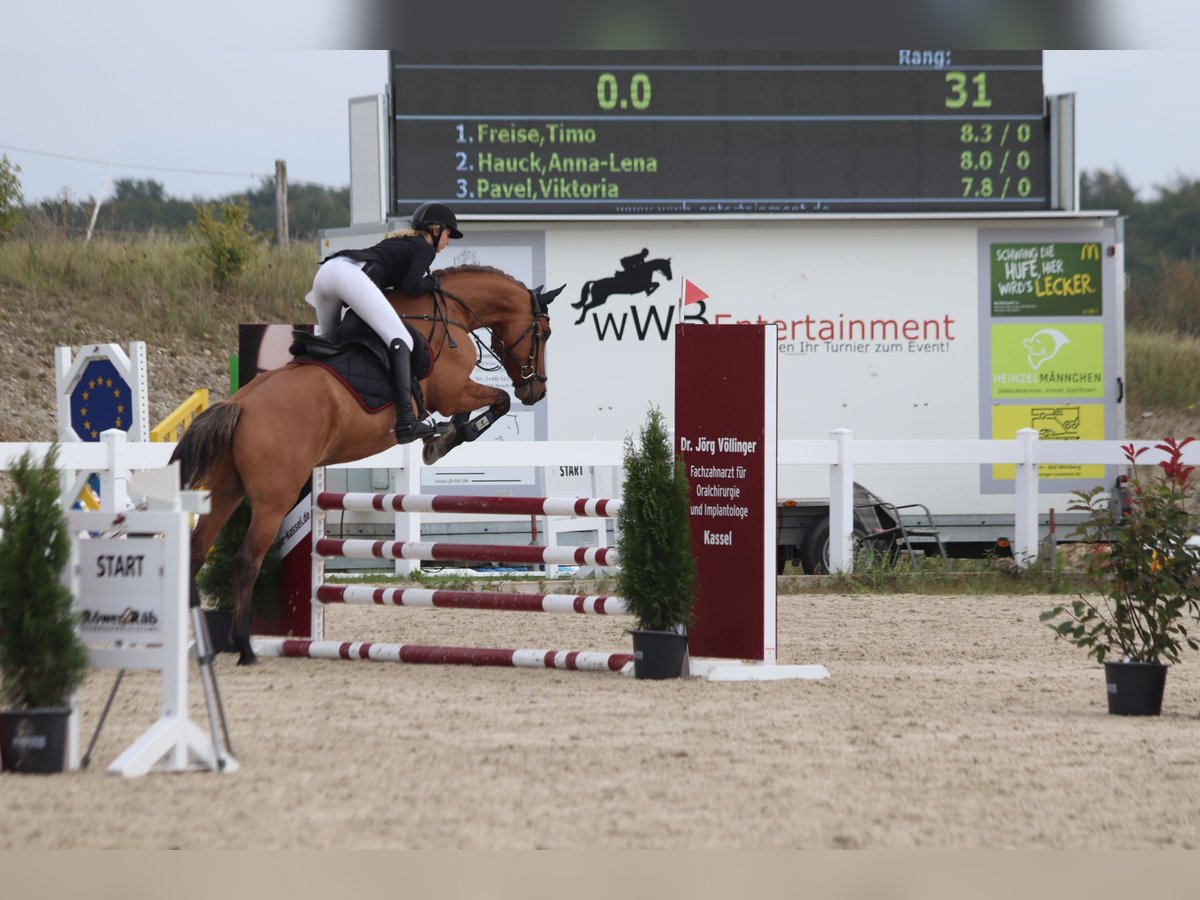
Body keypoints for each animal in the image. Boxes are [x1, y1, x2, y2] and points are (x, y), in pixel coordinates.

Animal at [170, 264, 561, 667]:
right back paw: (244, 646)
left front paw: (444, 435)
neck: (449, 312)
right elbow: (497, 401)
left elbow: (487, 404)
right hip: (274, 498)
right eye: (544, 332)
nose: (537, 391)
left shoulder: (455, 393)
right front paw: (445, 438)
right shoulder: (453, 391)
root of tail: (239, 404)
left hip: (227, 489)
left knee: (196, 549)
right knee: (248, 558)